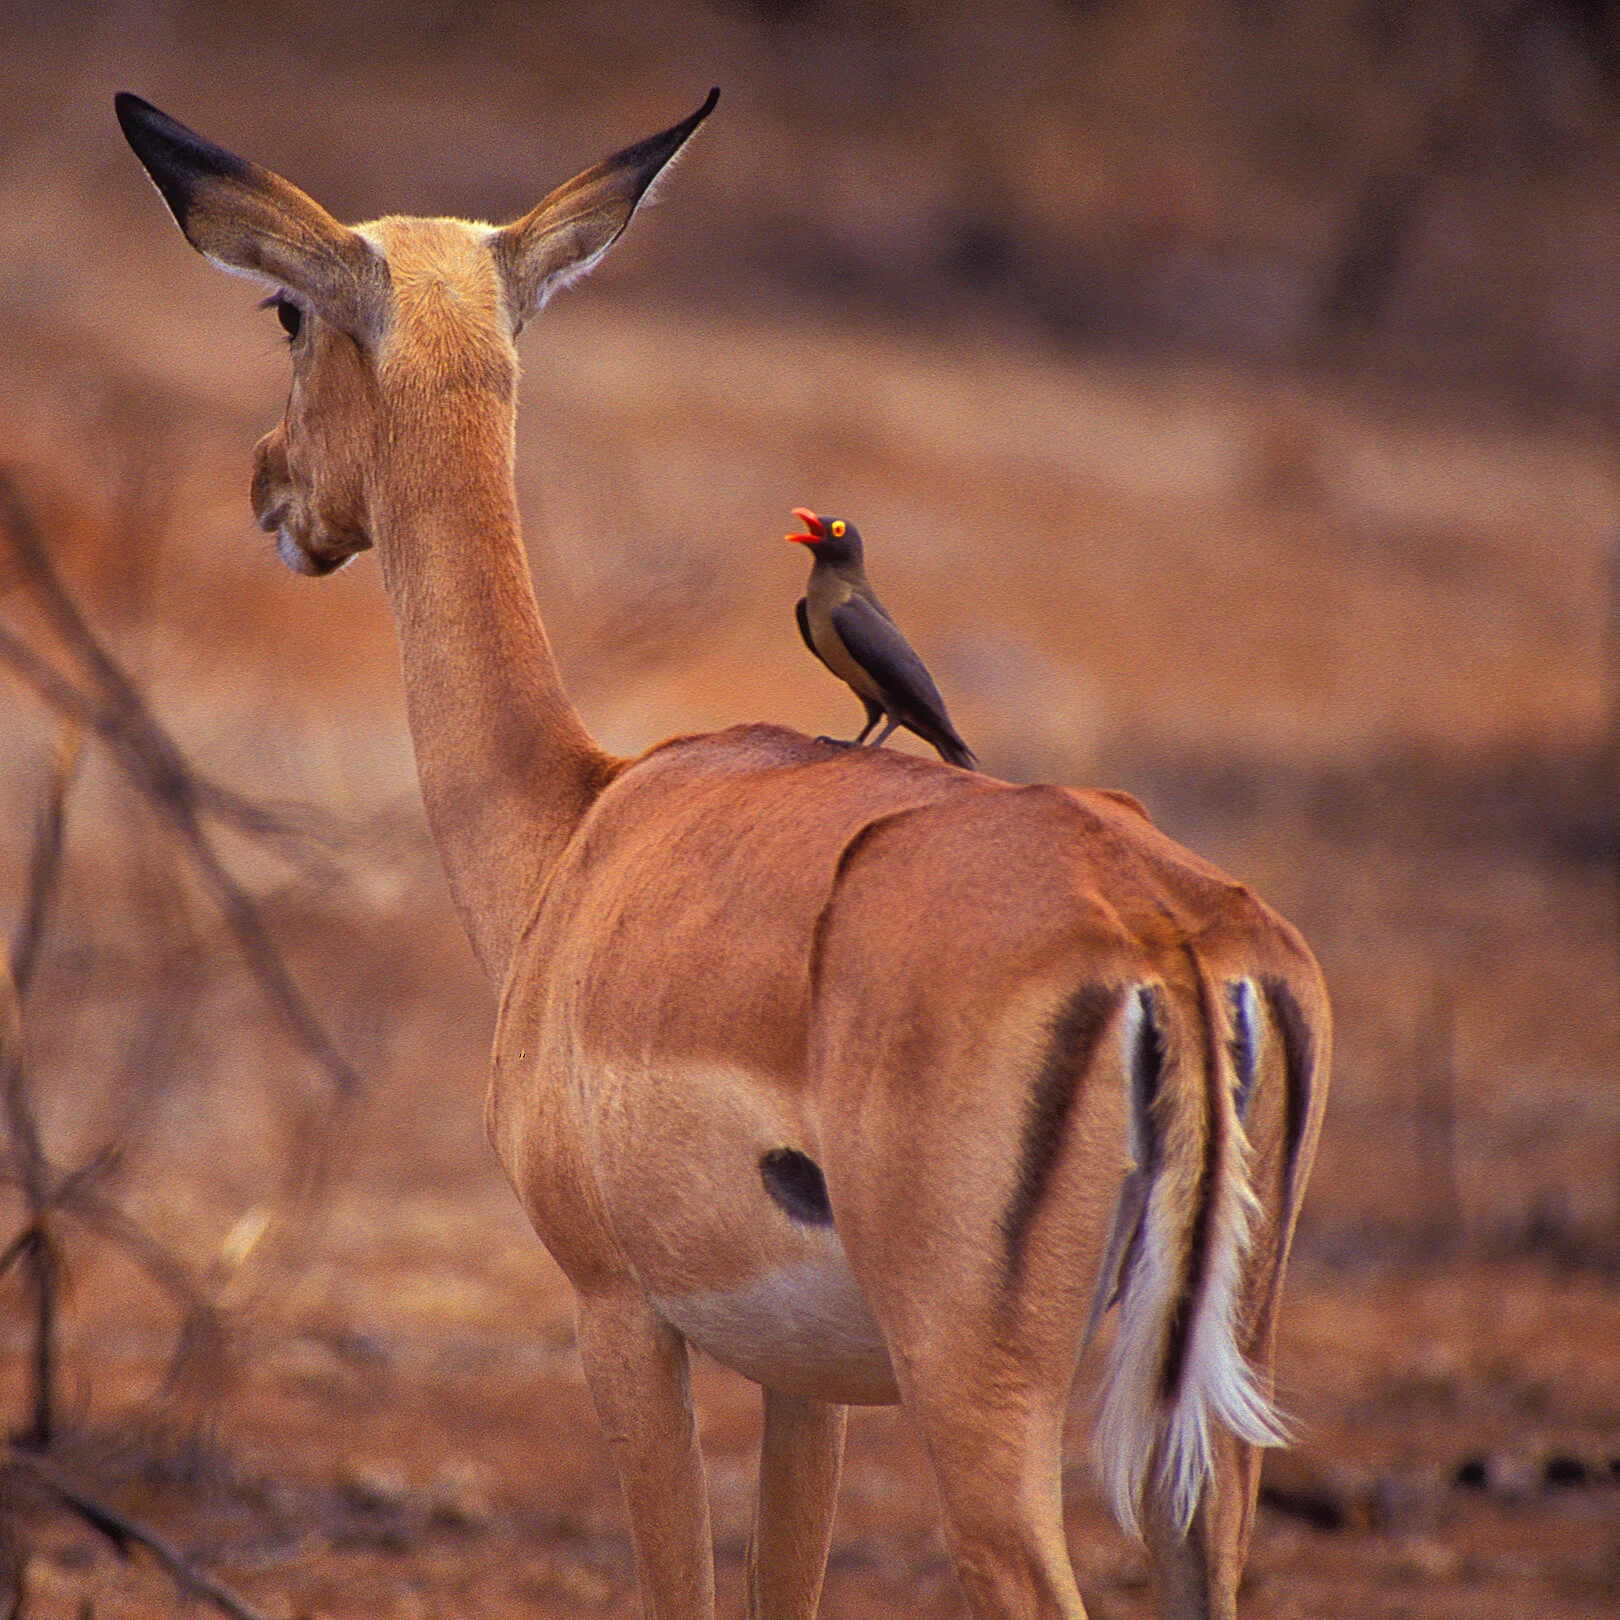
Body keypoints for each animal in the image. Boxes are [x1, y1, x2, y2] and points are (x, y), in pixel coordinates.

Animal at [116, 89, 1330, 1620]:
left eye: (284, 310)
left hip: (980, 1398)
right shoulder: (807, 1382)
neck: (575, 832)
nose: (267, 486)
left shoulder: (620, 1317)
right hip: (1209, 1423)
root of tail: (1167, 939)